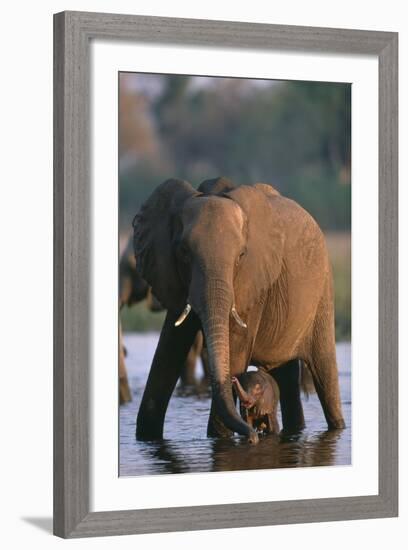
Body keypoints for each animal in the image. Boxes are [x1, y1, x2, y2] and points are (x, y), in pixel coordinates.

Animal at [133, 179, 344, 446]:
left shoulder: (253, 284)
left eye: (241, 256)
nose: (253, 437)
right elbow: (167, 353)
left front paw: (222, 440)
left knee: (325, 373)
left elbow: (234, 353)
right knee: (285, 378)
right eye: (183, 252)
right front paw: (147, 438)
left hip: (323, 294)